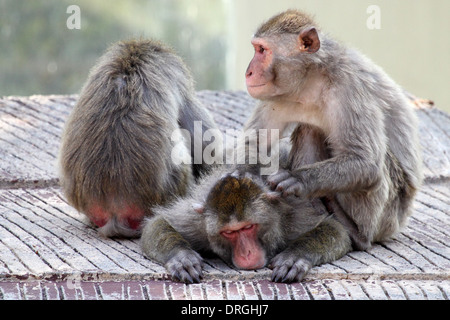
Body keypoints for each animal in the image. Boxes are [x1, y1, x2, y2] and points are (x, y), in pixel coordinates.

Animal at [241, 9, 424, 250]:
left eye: (262, 50)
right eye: (256, 48)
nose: (249, 72)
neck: (311, 80)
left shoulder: (349, 87)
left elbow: (366, 162)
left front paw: (299, 179)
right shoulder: (276, 96)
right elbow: (255, 142)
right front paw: (245, 172)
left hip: (388, 217)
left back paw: (358, 234)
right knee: (310, 130)